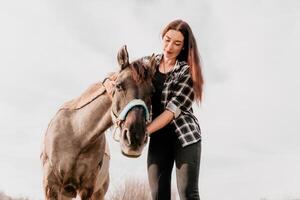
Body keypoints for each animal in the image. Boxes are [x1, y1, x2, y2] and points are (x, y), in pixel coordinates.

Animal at [41, 46, 156, 199]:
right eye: (119, 86)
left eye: (152, 92)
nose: (135, 137)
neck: (77, 135)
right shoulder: (51, 187)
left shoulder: (88, 189)